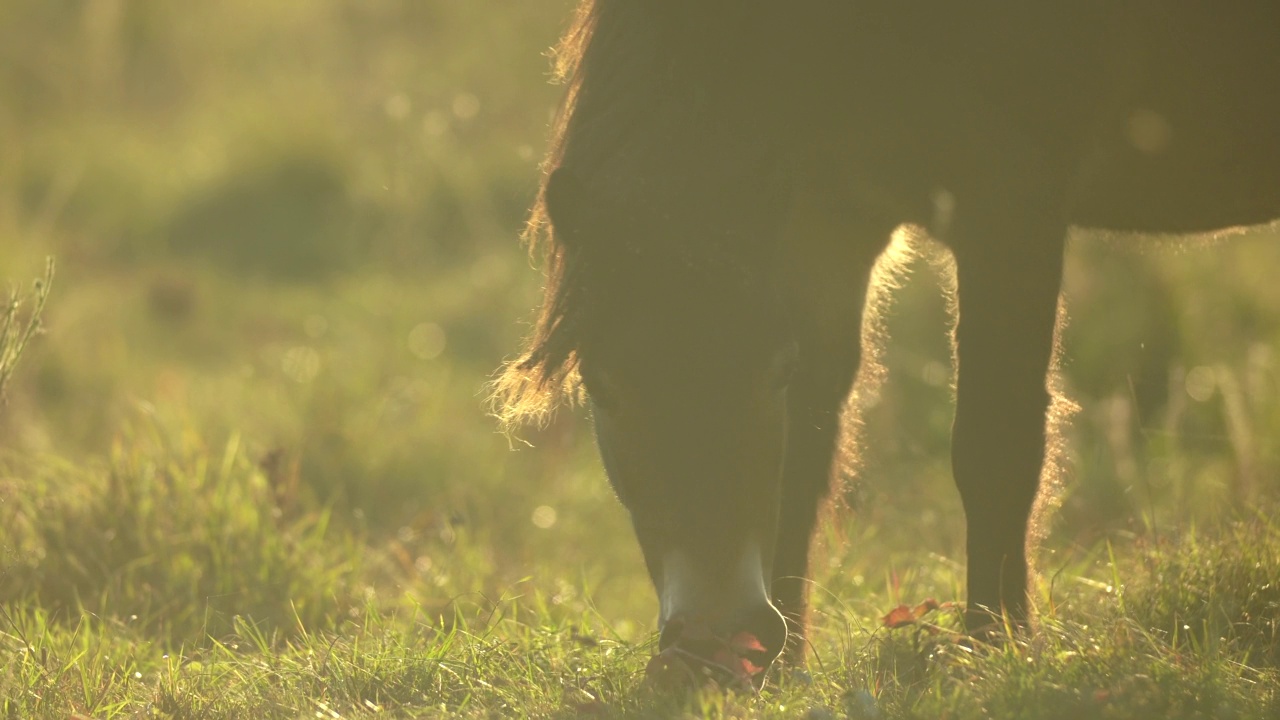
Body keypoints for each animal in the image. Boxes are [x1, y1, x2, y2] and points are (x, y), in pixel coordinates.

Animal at [494, 0, 1280, 681]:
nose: (720, 641)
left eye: (772, 373)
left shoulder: (1009, 203)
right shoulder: (829, 223)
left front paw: (991, 647)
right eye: (603, 388)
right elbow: (807, 456)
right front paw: (785, 667)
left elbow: (995, 450)